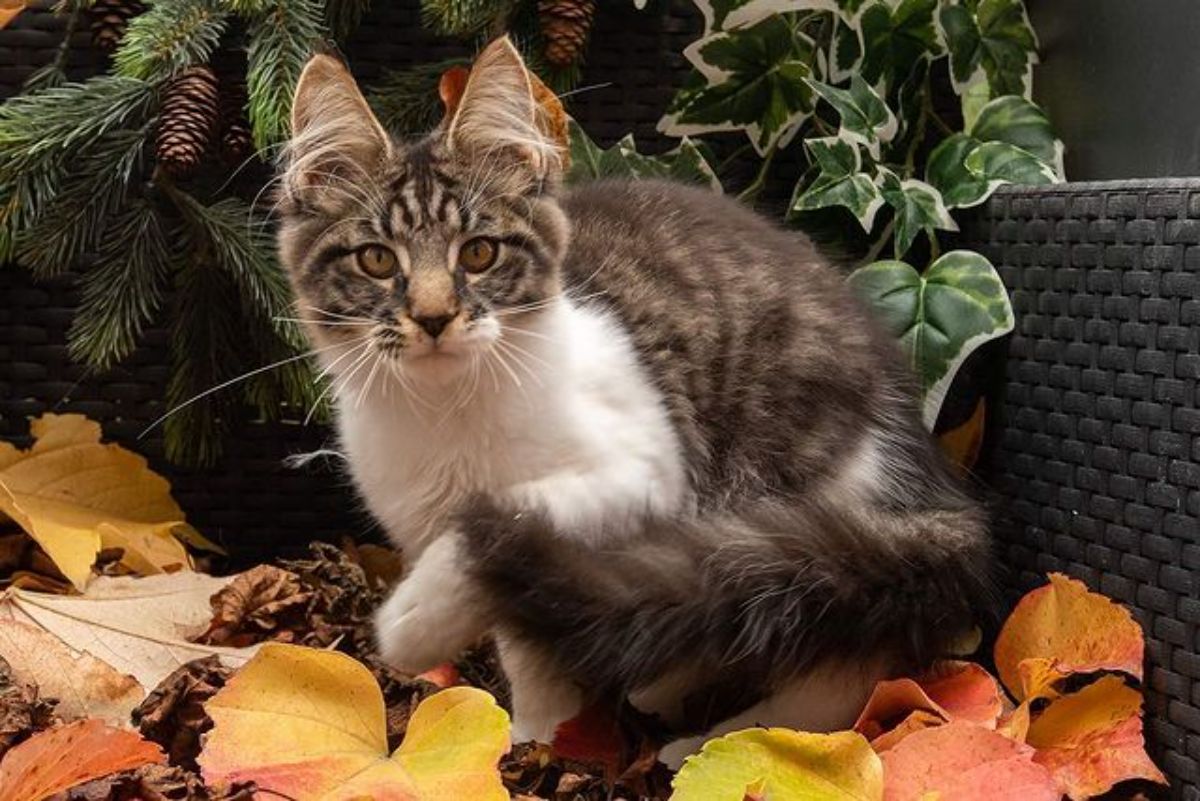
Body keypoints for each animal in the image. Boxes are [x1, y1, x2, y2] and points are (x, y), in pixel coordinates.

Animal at [278, 37, 993, 762]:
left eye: (478, 253)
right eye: (375, 260)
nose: (432, 317)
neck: (445, 412)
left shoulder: (640, 476)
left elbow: (501, 515)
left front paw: (413, 626)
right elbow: (526, 641)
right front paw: (539, 739)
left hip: (799, 513)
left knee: (840, 669)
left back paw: (724, 742)